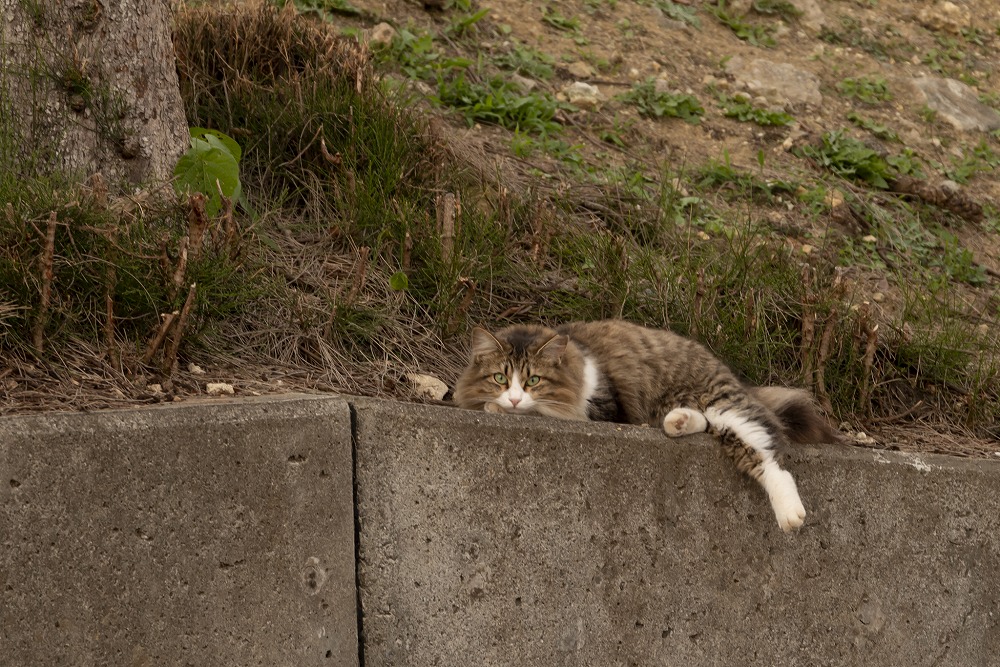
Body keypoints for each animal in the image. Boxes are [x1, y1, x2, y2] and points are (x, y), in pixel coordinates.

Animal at [454, 320, 844, 536]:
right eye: (500, 378)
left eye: (533, 380)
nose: (514, 398)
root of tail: (733, 376)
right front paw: (491, 404)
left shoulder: (604, 408)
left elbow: (547, 412)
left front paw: (500, 408)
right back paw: (677, 421)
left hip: (728, 408)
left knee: (770, 460)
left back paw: (791, 514)